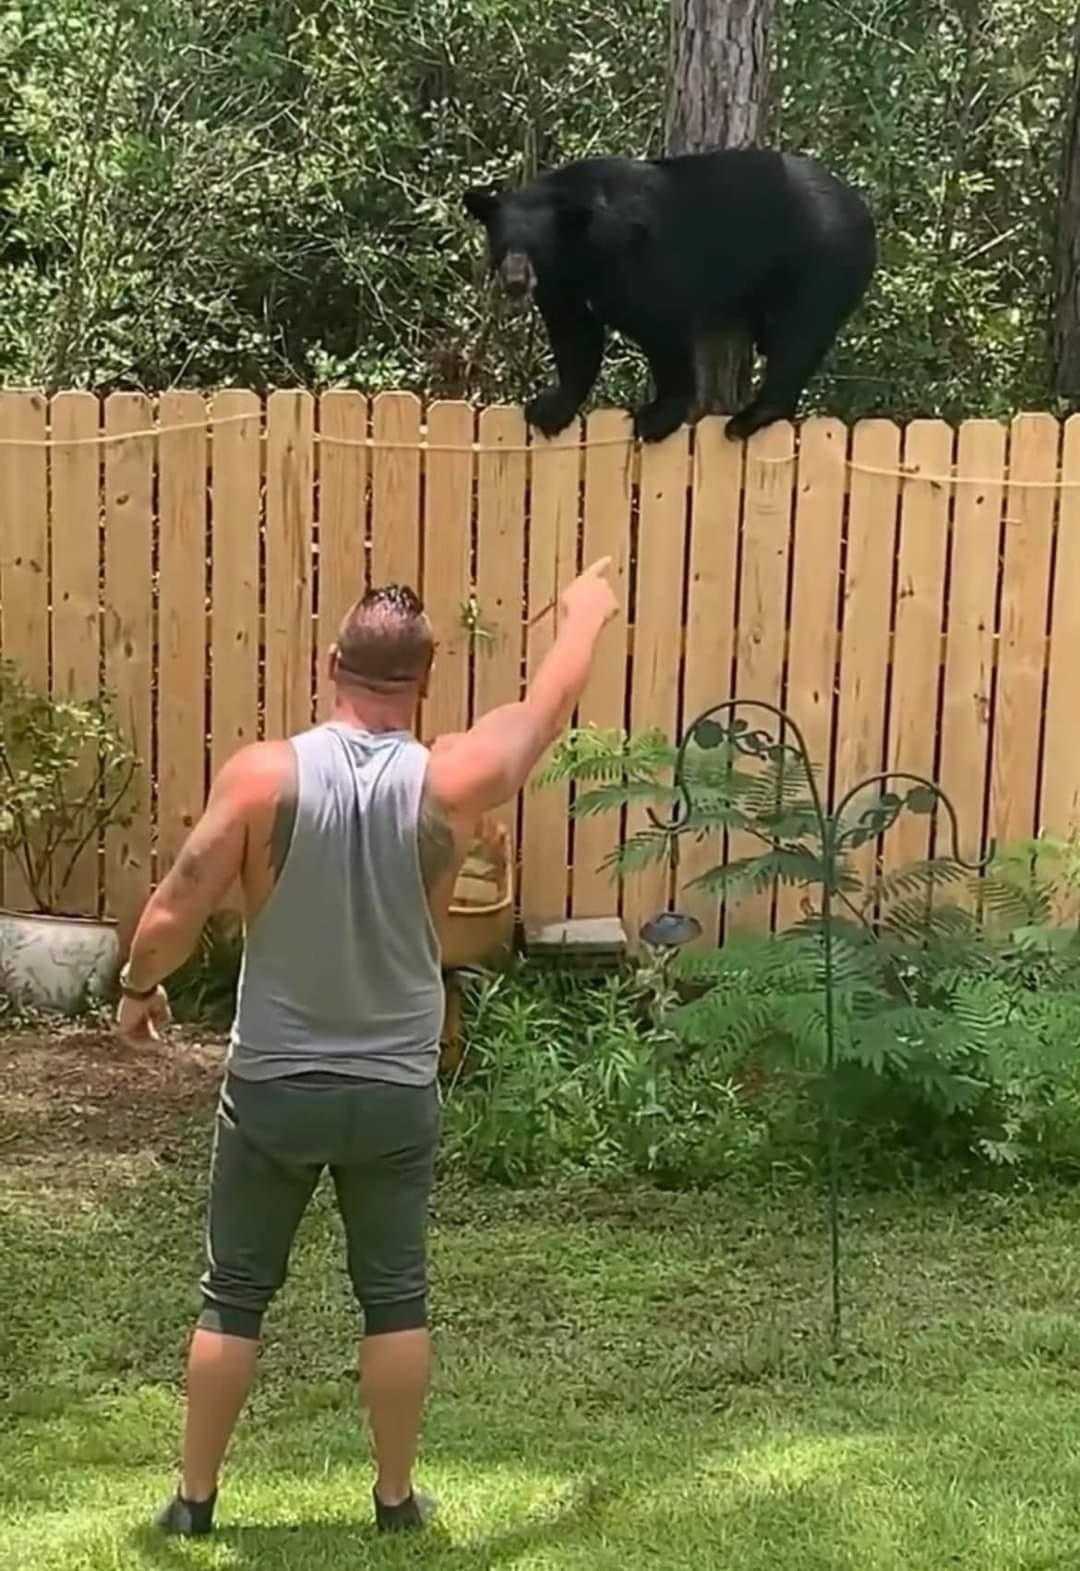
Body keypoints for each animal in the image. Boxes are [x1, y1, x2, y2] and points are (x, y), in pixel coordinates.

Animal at [465, 148, 880, 443]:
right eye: (503, 244)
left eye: (537, 248)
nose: (515, 281)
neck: (583, 248)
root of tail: (865, 214)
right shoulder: (564, 285)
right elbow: (575, 336)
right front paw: (550, 409)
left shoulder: (635, 258)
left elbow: (661, 324)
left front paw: (657, 417)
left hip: (820, 264)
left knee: (798, 336)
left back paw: (748, 418)